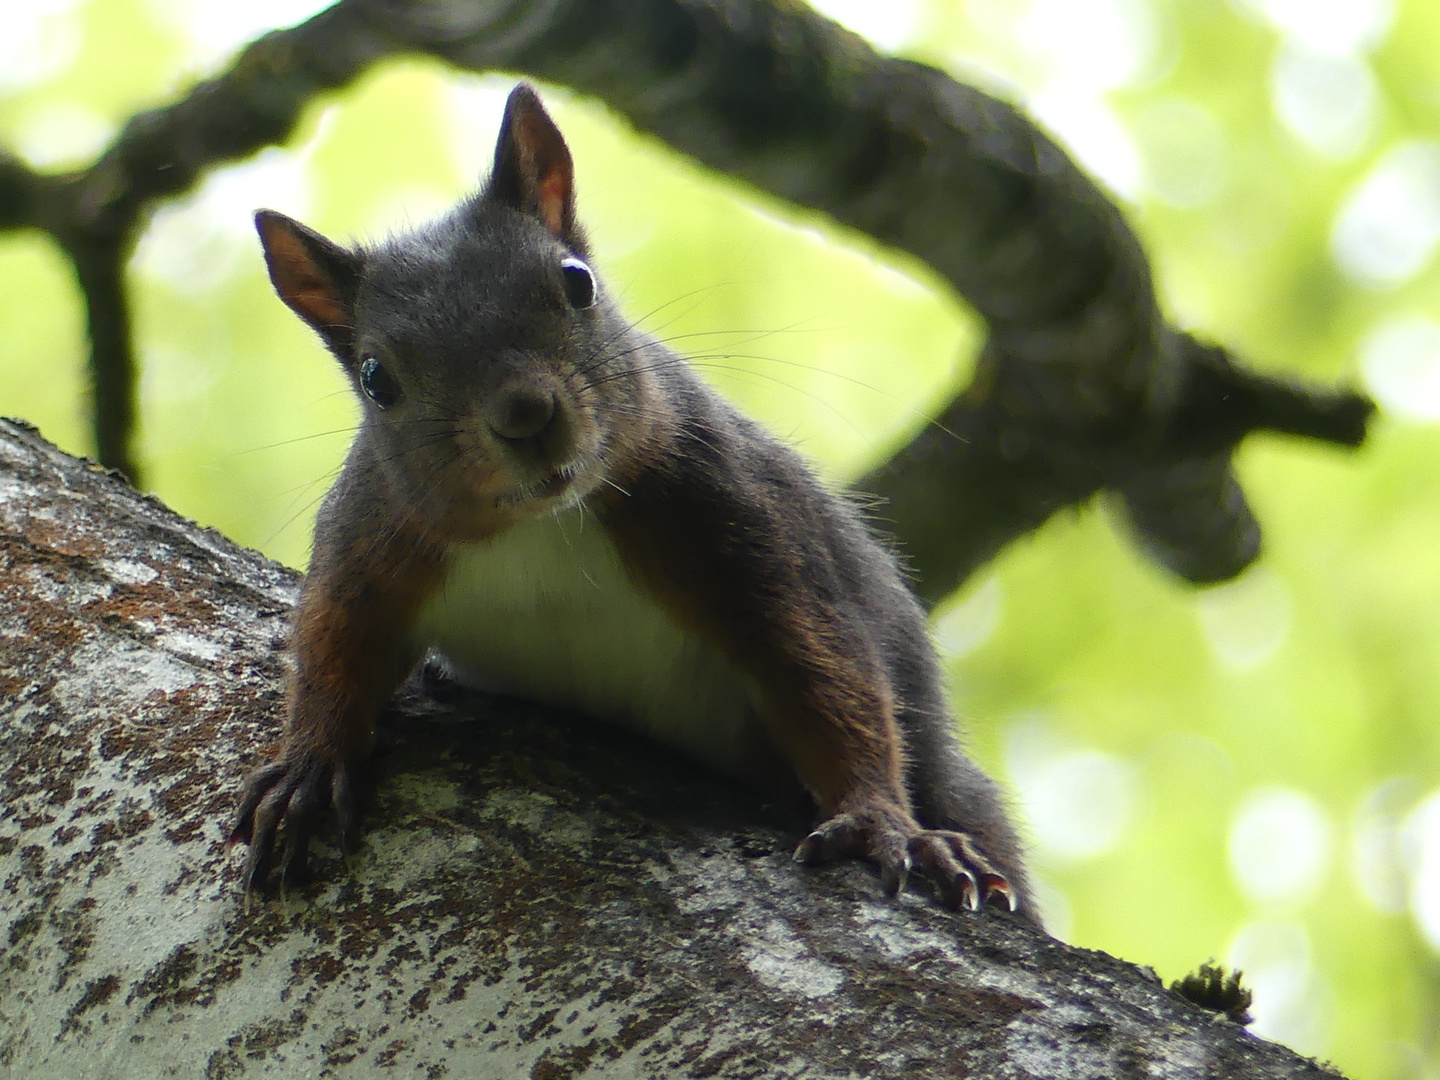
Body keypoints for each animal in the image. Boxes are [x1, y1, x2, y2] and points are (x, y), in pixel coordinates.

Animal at [227, 84, 1036, 927]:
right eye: (376, 377)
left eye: (577, 281)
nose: (524, 414)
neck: (540, 528)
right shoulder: (373, 536)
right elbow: (334, 646)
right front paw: (308, 767)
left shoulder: (738, 518)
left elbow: (828, 671)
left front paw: (879, 818)